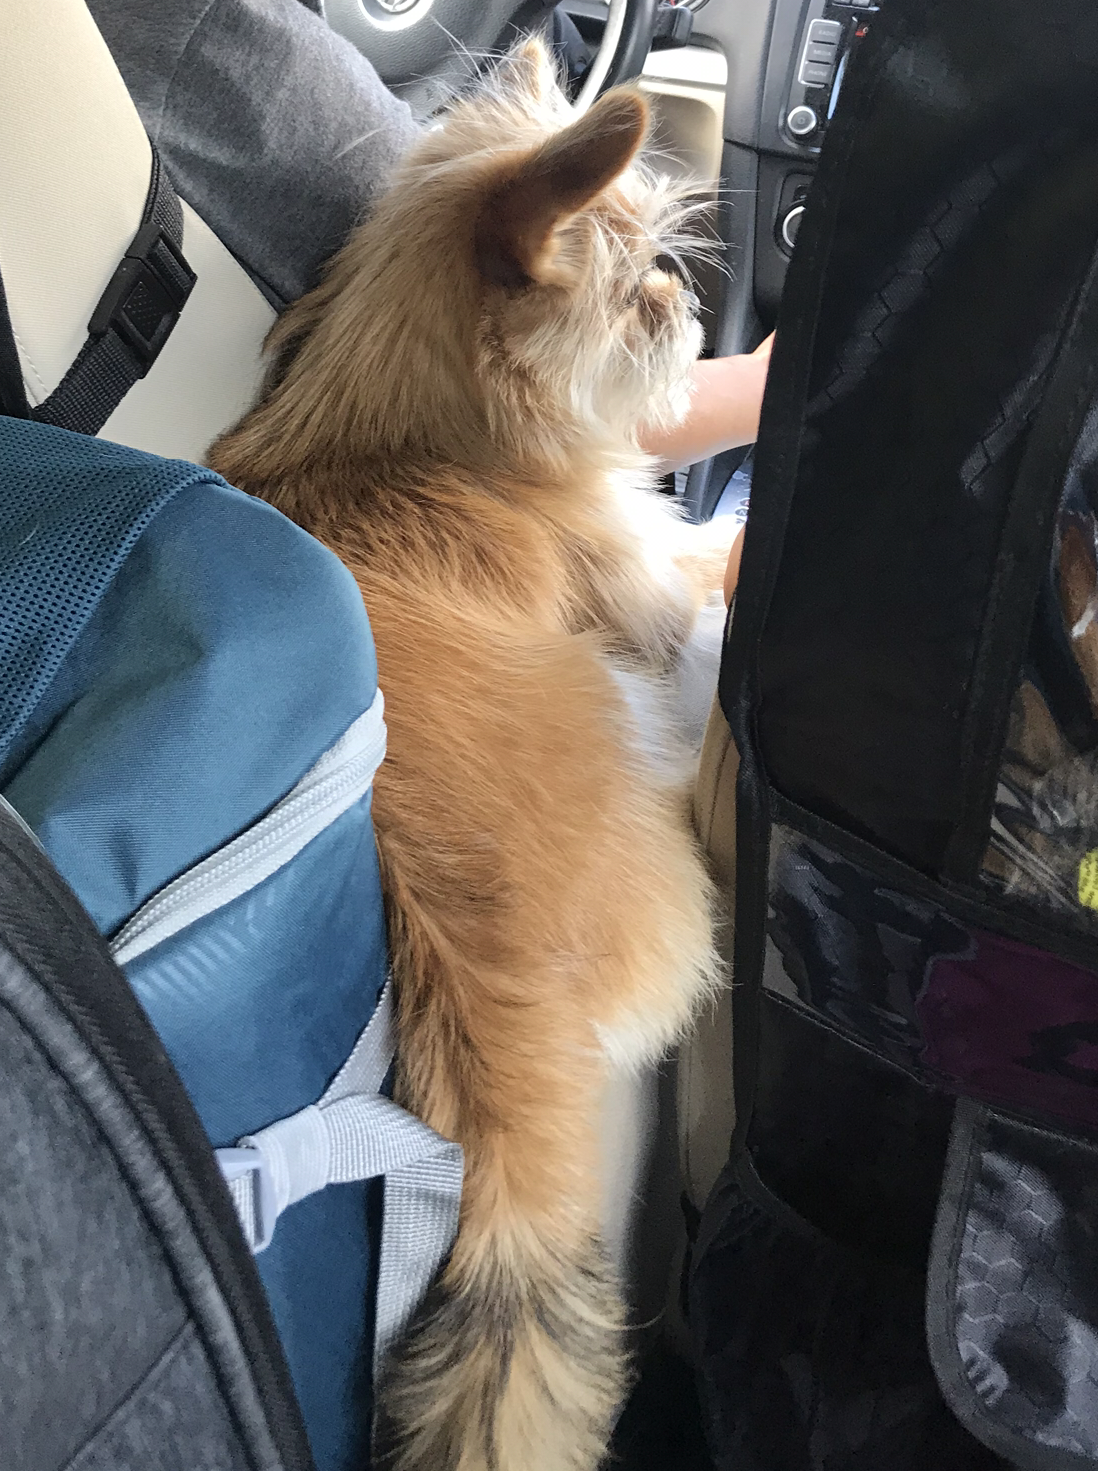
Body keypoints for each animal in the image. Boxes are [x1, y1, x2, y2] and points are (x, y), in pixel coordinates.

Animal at [209, 38, 728, 1471]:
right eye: (635, 278)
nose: (688, 298)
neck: (405, 433)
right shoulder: (646, 578)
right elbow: (706, 563)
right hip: (637, 720)